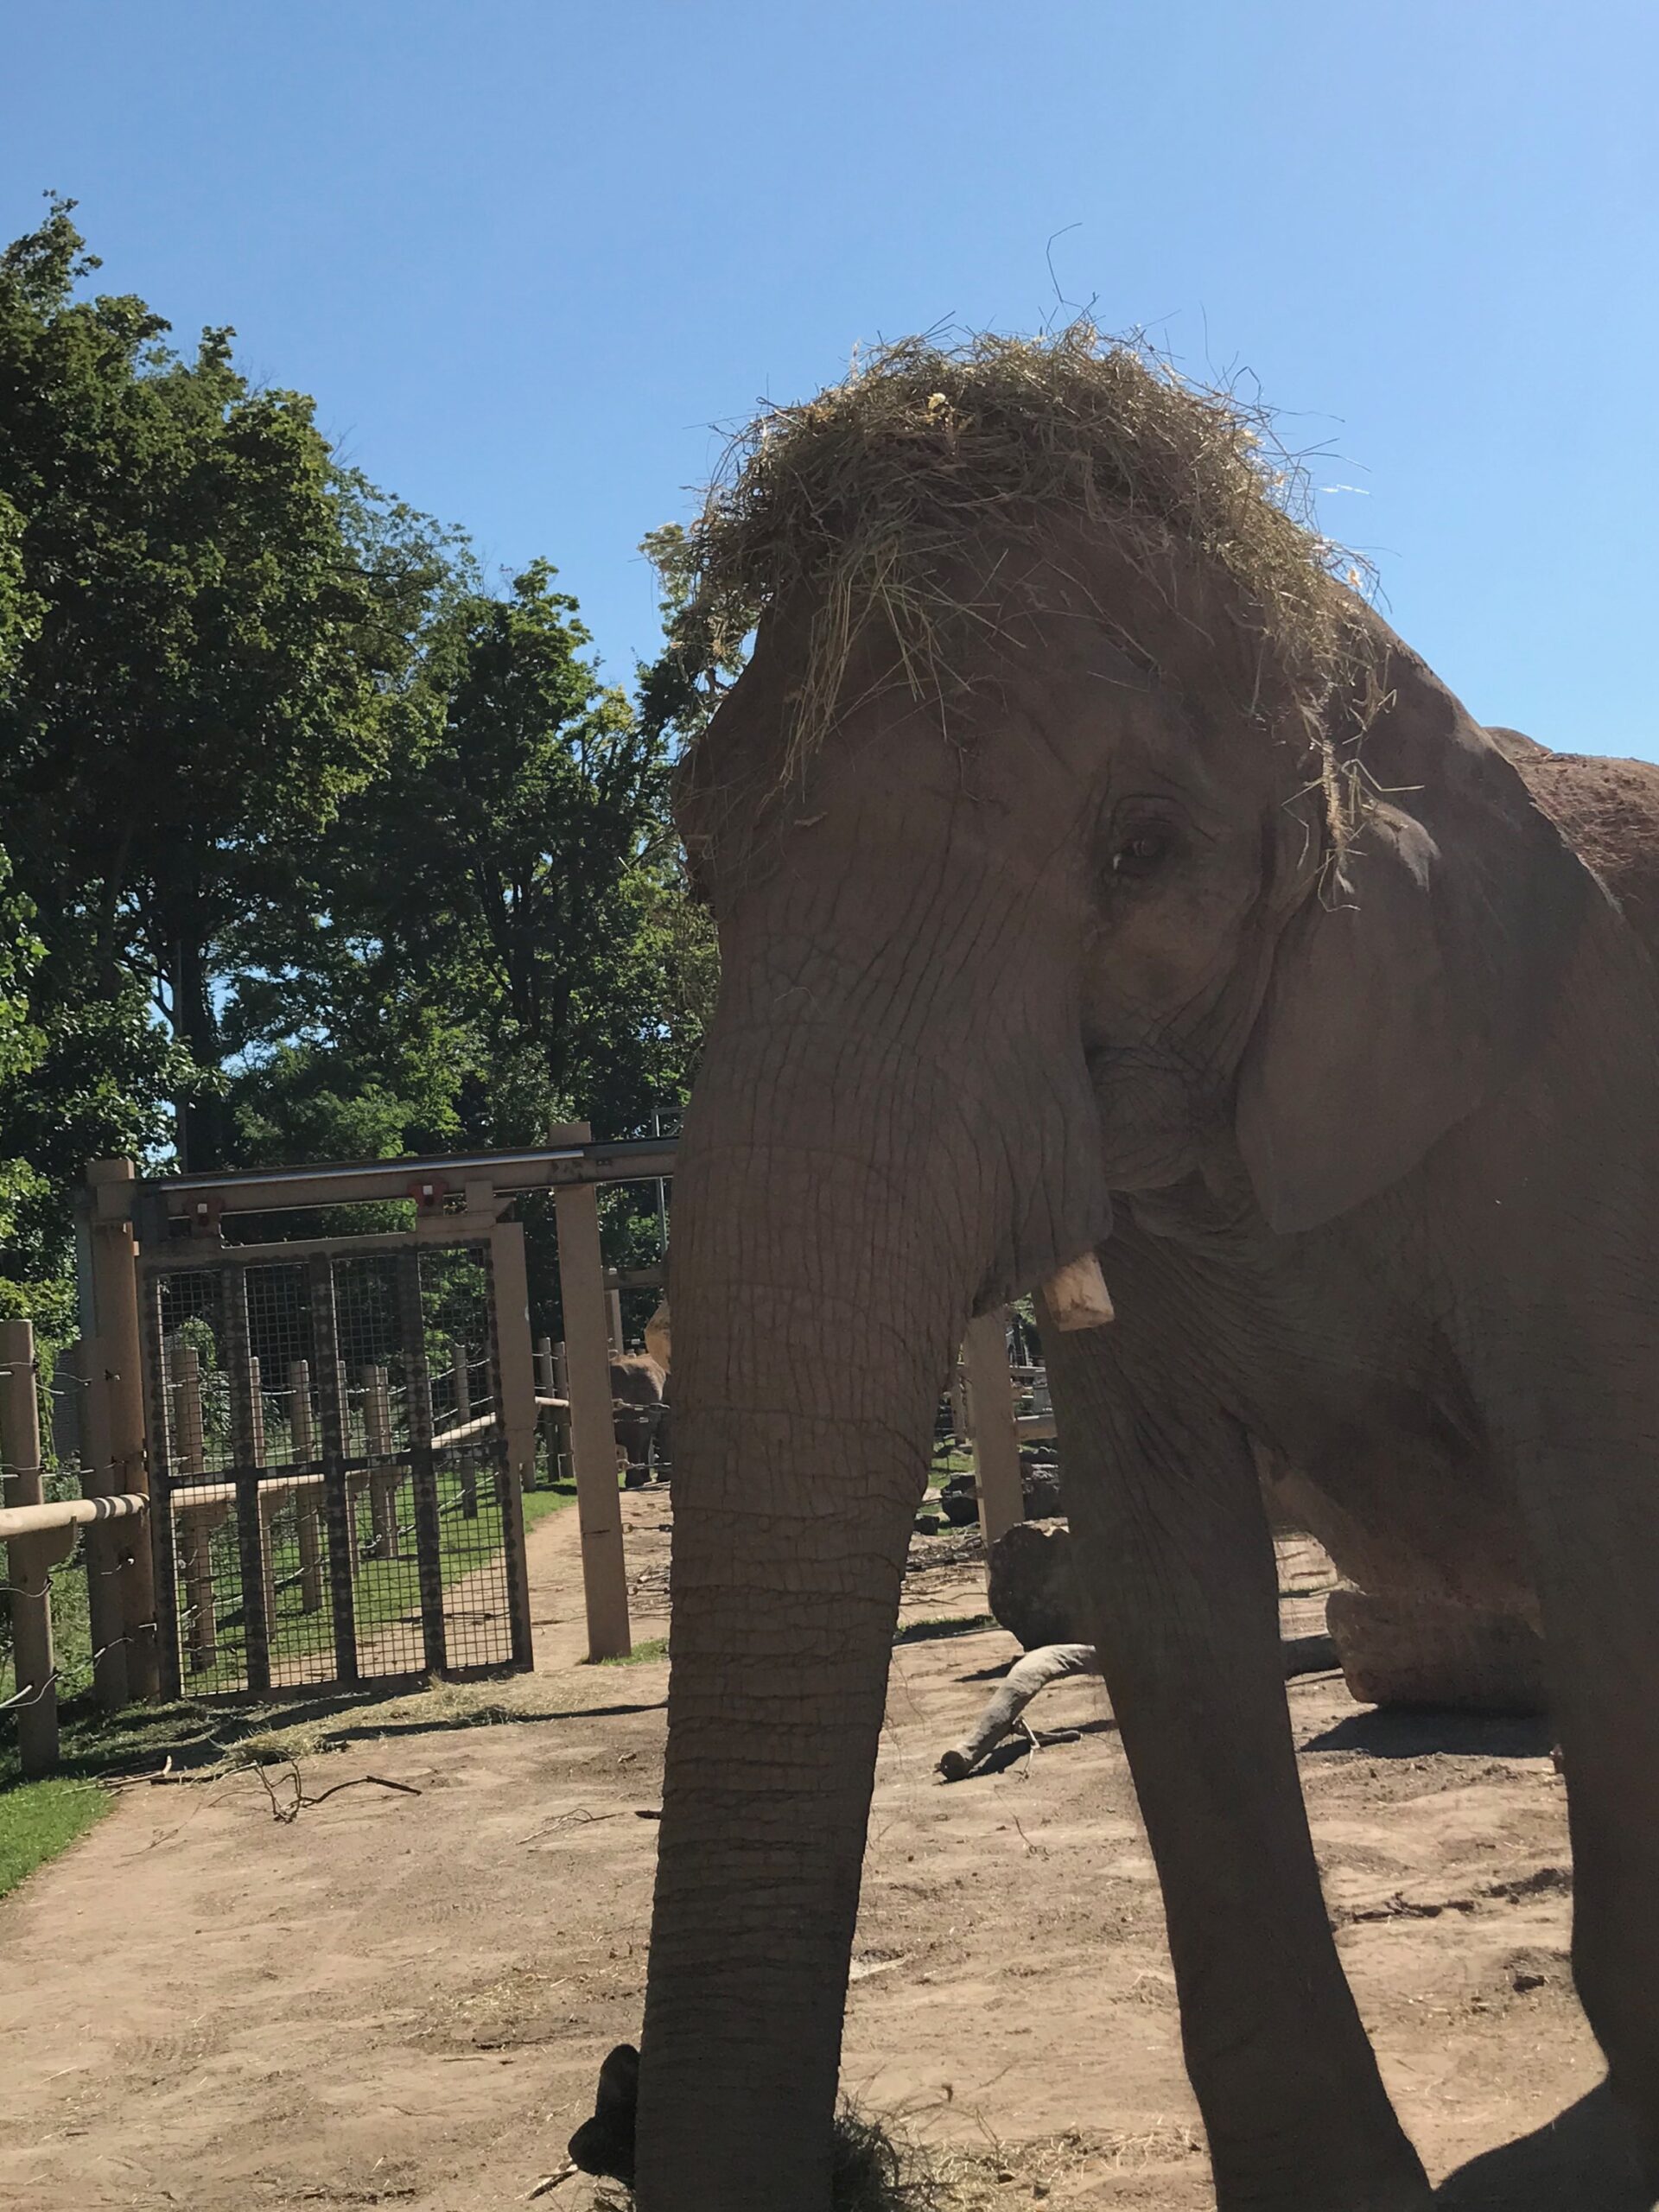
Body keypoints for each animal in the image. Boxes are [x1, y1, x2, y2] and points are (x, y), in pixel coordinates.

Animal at [575, 332, 1659, 2212]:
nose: (609, 2106)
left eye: (1143, 850)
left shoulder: (1574, 1137)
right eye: (699, 852)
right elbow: (1166, 1582)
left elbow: (1607, 1528)